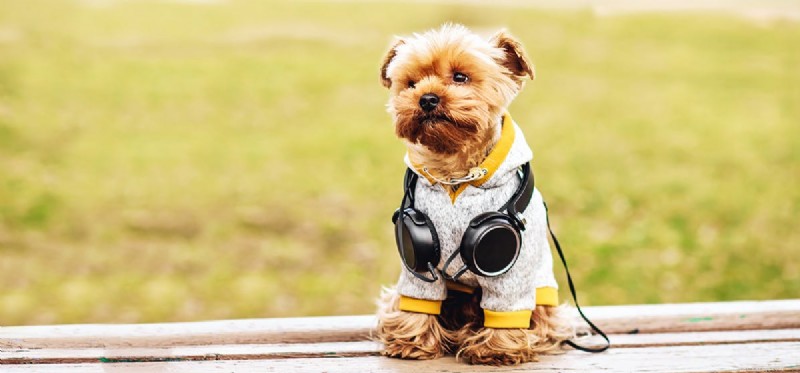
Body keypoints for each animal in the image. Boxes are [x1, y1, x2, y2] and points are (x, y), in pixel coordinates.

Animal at [376, 24, 576, 364]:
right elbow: (417, 297)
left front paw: (497, 348)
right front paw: (412, 340)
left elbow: (507, 306)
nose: (426, 98)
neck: (455, 174)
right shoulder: (417, 261)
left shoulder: (512, 271)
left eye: (460, 77)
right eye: (411, 83)